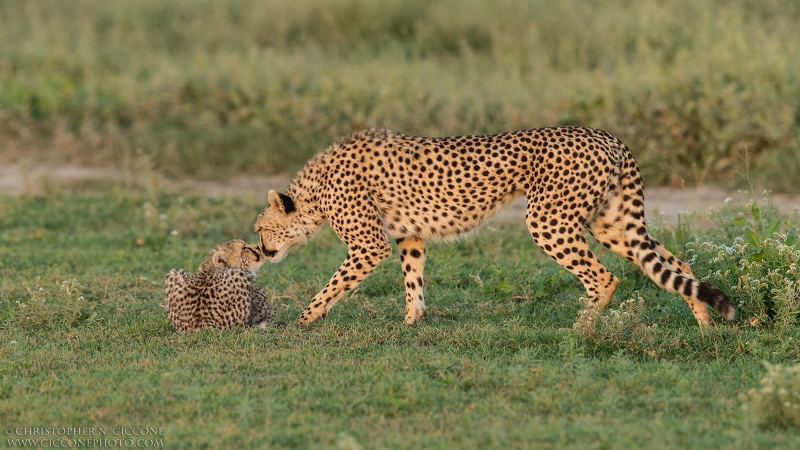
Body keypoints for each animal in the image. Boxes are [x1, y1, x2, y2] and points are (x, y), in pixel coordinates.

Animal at [253, 126, 736, 326]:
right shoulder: (409, 233)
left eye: (260, 229)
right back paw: (704, 325)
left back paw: (578, 331)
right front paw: (412, 321)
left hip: (548, 219)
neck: (314, 190)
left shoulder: (369, 244)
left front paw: (303, 320)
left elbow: (333, 285)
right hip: (610, 223)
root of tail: (606, 135)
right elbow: (412, 278)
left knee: (604, 278)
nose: (261, 252)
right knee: (675, 263)